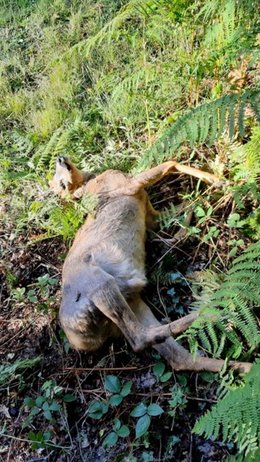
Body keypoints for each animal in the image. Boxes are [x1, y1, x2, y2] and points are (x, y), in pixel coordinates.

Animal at [49, 157, 251, 374]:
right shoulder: (130, 185)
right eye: (61, 184)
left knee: (178, 358)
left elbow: (185, 205)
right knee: (140, 339)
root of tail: (77, 339)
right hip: (101, 285)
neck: (89, 183)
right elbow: (170, 163)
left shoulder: (150, 214)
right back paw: (212, 310)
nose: (60, 158)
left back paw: (244, 365)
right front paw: (221, 182)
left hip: (132, 303)